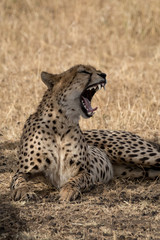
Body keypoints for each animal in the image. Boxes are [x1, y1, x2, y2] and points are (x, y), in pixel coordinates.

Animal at [10, 64, 159, 202]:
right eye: (84, 71)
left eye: (97, 70)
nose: (104, 74)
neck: (60, 125)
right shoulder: (23, 171)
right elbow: (18, 180)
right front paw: (23, 191)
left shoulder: (86, 172)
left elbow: (75, 180)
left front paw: (68, 191)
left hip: (130, 153)